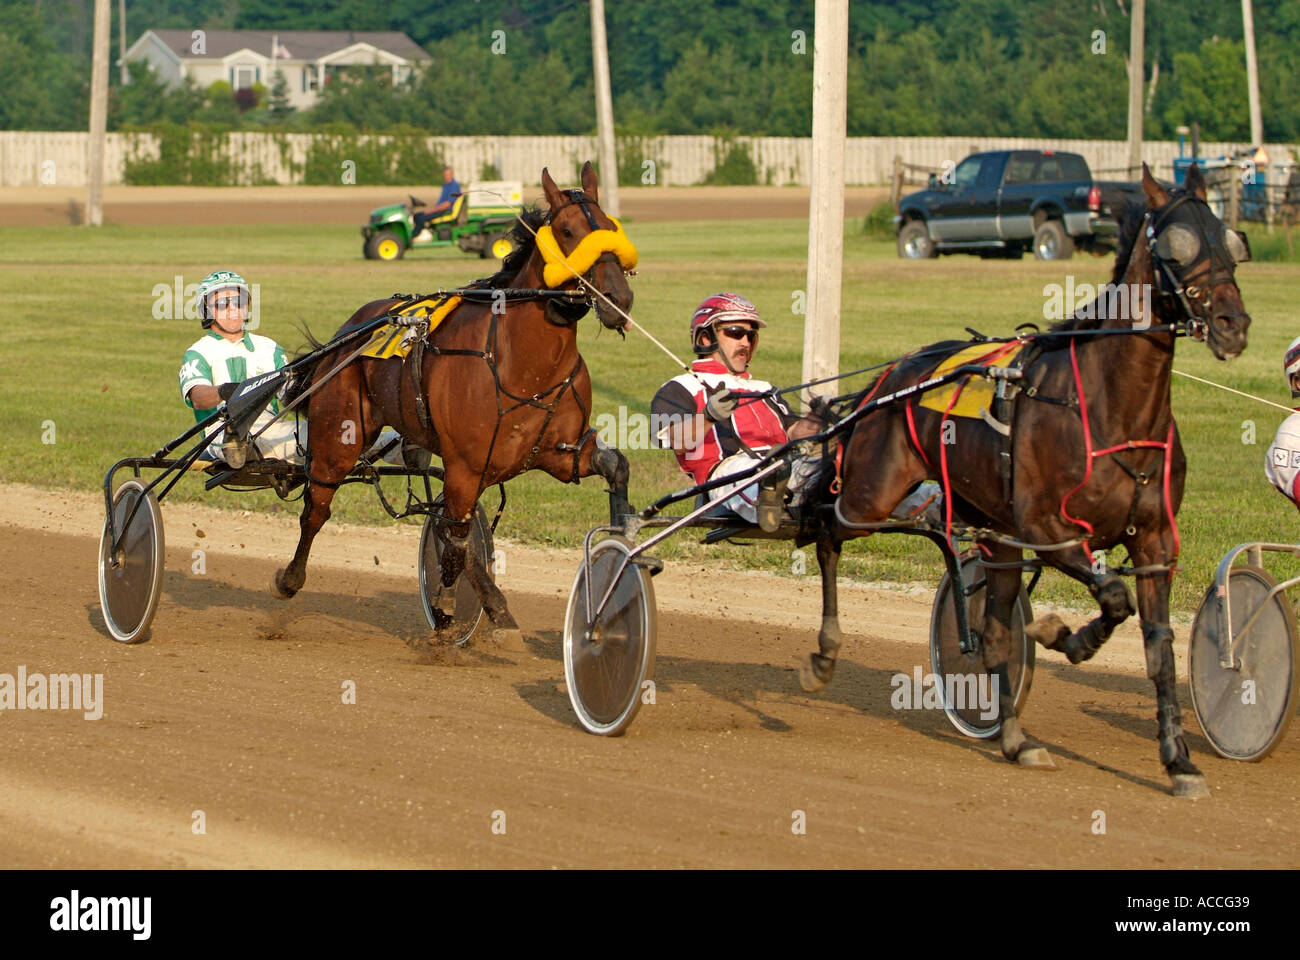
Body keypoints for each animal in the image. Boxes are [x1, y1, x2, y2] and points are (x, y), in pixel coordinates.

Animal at [273, 162, 635, 645]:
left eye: (612, 227)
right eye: (568, 230)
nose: (620, 300)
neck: (522, 362)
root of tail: (346, 333)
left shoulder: (561, 454)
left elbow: (614, 466)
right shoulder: (465, 466)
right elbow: (458, 543)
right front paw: (449, 604)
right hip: (340, 434)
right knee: (318, 506)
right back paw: (290, 579)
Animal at [803, 163, 1252, 797]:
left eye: (1231, 241)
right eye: (1179, 245)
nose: (1232, 325)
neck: (1113, 408)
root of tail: (892, 375)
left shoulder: (1154, 543)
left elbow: (1158, 650)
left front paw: (1179, 761)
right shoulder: (1047, 529)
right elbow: (1112, 598)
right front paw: (1067, 636)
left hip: (993, 535)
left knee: (991, 633)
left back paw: (1016, 740)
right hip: (871, 495)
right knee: (825, 532)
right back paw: (824, 654)